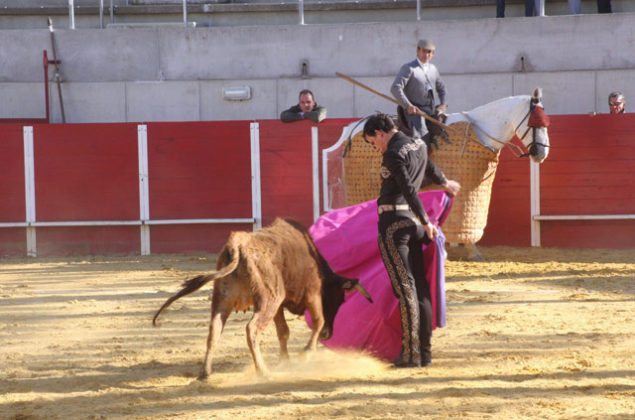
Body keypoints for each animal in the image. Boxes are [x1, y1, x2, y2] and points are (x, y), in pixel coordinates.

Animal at [153, 217, 372, 378]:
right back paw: (263, 372)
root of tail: (237, 244)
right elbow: (318, 320)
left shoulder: (281, 305)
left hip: (224, 299)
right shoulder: (312, 294)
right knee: (251, 329)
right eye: (339, 299)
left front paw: (285, 361)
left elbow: (283, 331)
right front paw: (306, 352)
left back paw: (205, 373)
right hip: (268, 300)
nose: (328, 335)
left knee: (214, 329)